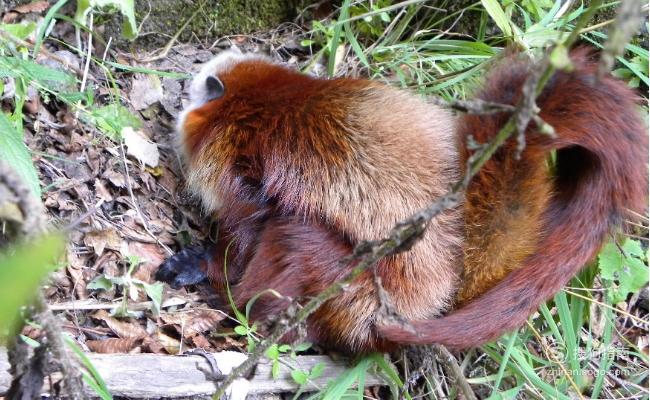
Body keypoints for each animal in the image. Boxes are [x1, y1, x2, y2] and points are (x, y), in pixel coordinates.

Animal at [154, 47, 644, 354]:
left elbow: (248, 225)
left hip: (355, 295)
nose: (189, 83)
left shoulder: (235, 162)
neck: (258, 102)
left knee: (295, 233)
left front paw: (203, 265)